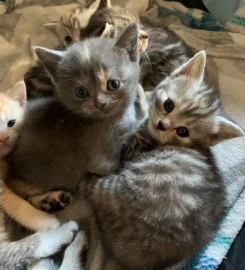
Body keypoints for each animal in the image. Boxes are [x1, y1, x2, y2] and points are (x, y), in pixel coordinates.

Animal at [0, 81, 81, 270]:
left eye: (11, 123)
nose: (4, 138)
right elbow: (14, 202)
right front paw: (43, 221)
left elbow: (16, 185)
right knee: (16, 251)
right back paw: (65, 233)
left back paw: (50, 201)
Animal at [76, 51, 243, 270]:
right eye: (168, 105)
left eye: (183, 131)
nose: (162, 124)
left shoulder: (132, 148)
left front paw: (137, 92)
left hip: (121, 187)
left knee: (92, 186)